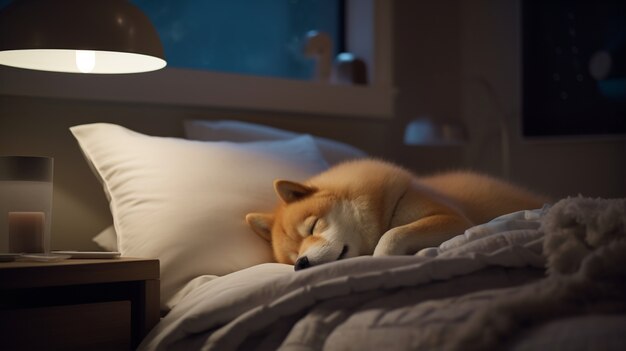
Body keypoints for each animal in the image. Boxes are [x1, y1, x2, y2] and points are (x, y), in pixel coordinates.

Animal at [245, 160, 544, 272]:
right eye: (292, 257)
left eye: (312, 227)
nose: (301, 264)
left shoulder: (453, 219)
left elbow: (392, 234)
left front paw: (382, 259)